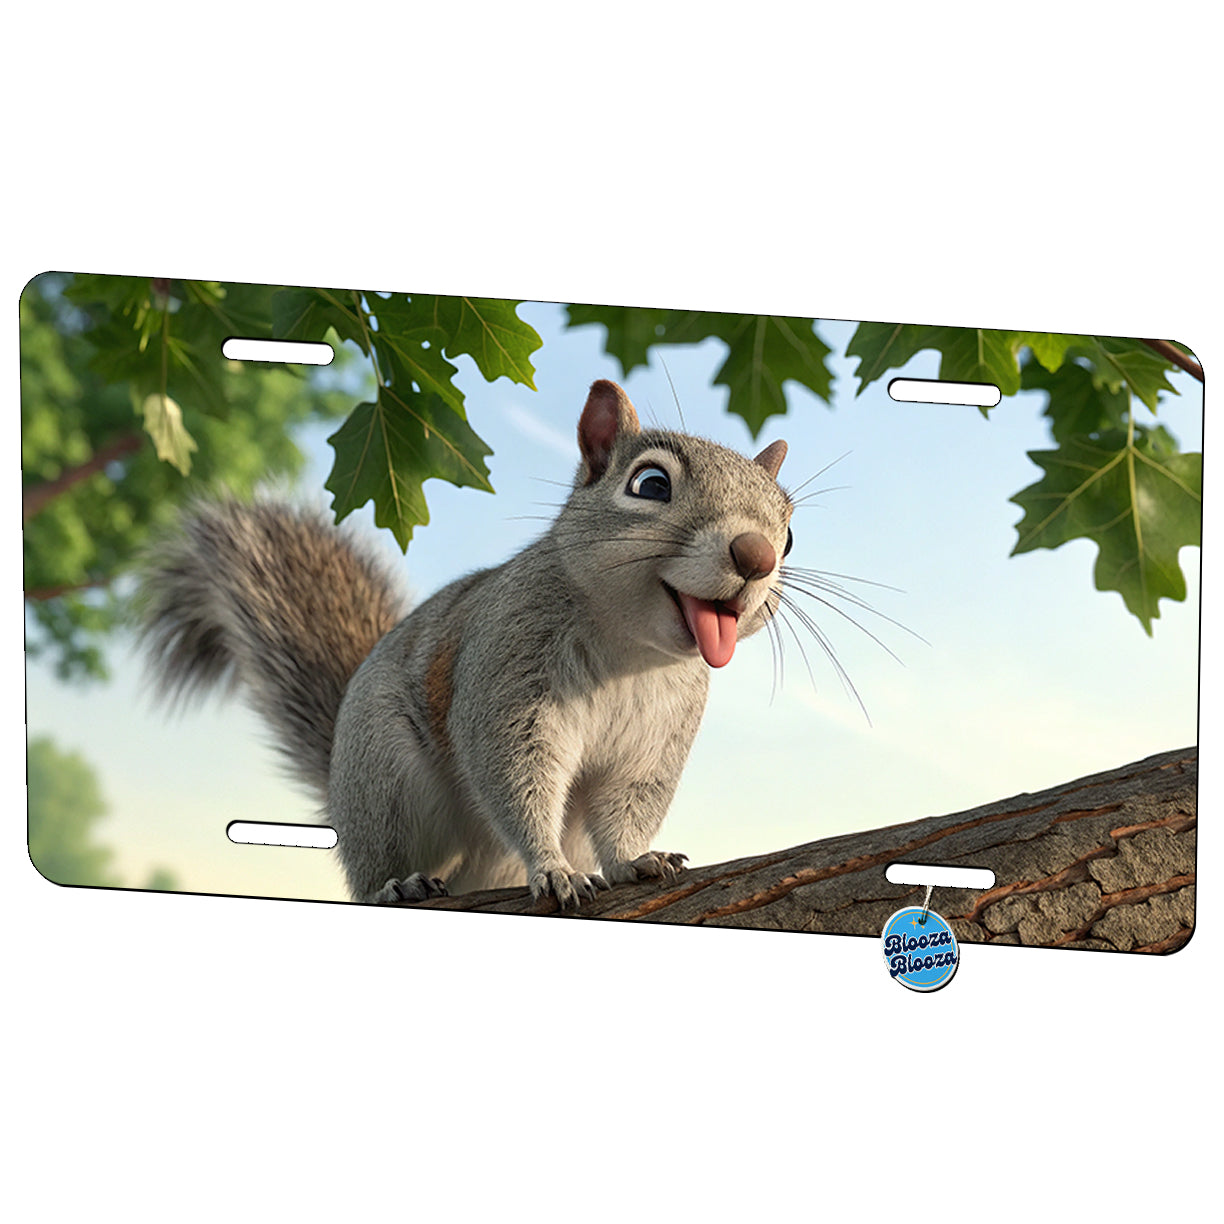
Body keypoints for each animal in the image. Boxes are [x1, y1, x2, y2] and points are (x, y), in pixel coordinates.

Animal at [140, 379, 793, 906]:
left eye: (788, 534)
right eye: (651, 484)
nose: (756, 555)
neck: (630, 649)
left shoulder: (654, 745)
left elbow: (625, 811)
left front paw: (636, 860)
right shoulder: (507, 673)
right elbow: (516, 776)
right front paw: (553, 869)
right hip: (383, 779)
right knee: (375, 866)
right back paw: (397, 882)